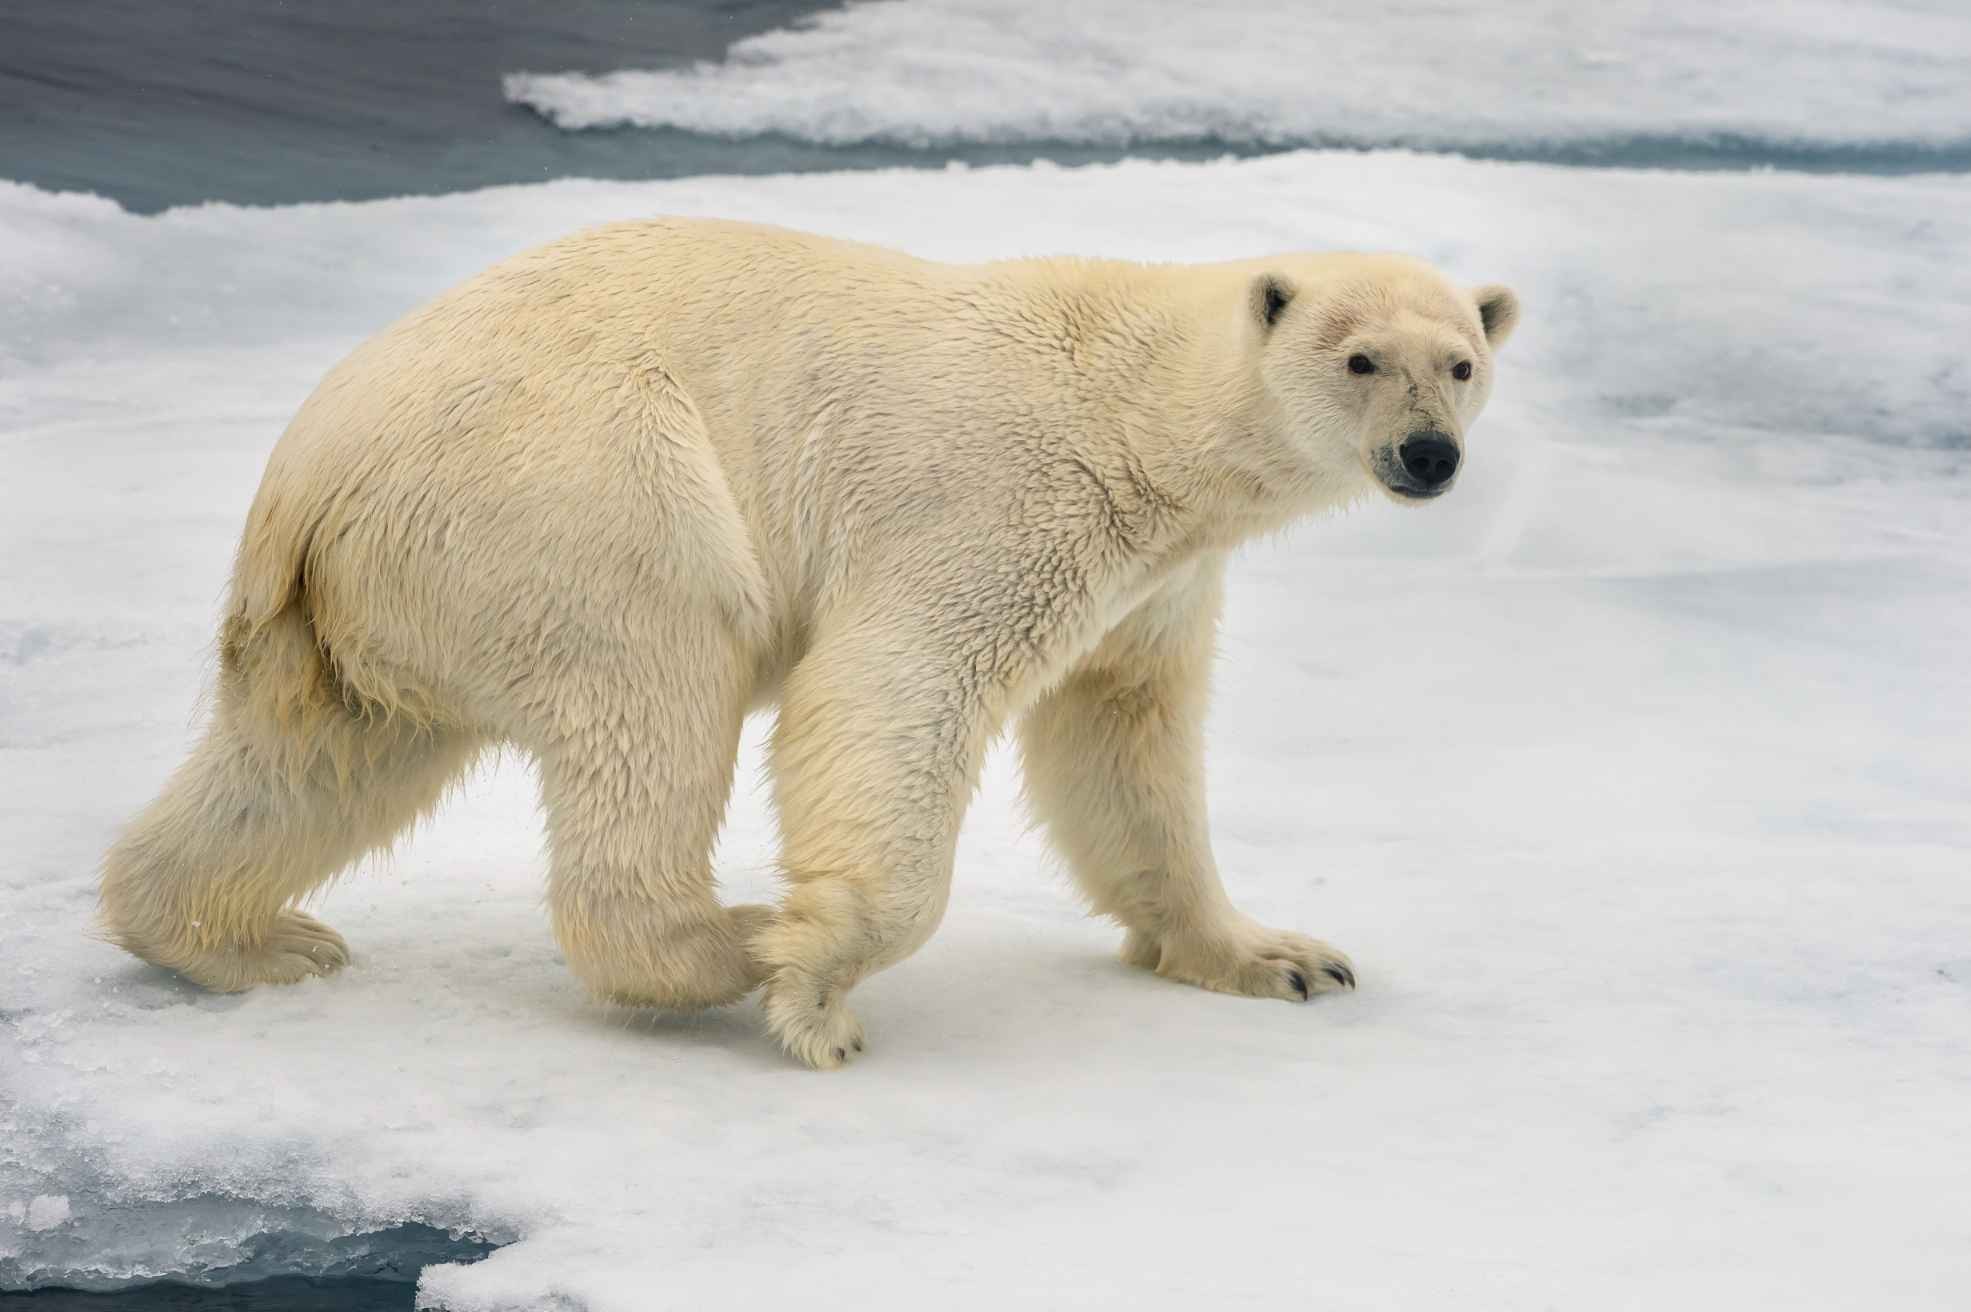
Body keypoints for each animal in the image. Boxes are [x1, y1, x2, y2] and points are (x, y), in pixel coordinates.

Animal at [98, 218, 1518, 1068]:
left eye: (1460, 361)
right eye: (1359, 358)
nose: (1428, 457)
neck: (1139, 410)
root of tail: (303, 475)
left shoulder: (1155, 577)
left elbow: (1123, 740)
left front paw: (1280, 955)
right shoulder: (1002, 495)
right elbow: (894, 685)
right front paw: (823, 983)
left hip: (377, 597)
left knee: (316, 762)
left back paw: (248, 937)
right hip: (581, 488)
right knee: (659, 687)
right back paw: (734, 938)